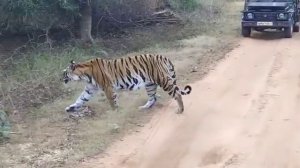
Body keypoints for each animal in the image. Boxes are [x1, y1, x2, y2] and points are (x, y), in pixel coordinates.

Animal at [61, 53, 191, 114]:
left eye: (65, 73)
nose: (61, 78)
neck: (84, 75)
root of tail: (163, 57)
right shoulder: (90, 89)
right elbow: (80, 99)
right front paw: (70, 108)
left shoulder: (108, 88)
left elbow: (112, 101)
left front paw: (115, 113)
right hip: (150, 84)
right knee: (153, 98)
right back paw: (143, 107)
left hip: (162, 80)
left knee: (177, 94)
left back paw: (180, 110)